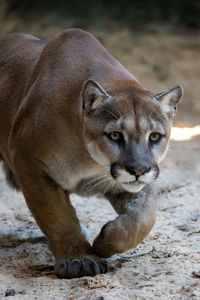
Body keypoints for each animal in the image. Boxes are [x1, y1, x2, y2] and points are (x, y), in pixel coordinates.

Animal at [0, 29, 182, 278]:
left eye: (154, 137)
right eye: (115, 135)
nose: (138, 170)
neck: (89, 159)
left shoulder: (132, 181)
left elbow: (144, 217)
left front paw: (105, 241)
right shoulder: (29, 163)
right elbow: (58, 217)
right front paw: (79, 259)